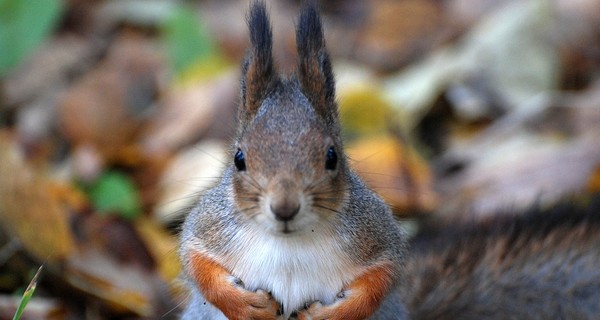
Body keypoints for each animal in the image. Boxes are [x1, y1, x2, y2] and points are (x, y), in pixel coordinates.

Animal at [179, 2, 408, 320]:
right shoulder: (211, 226)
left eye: (331, 156)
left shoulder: (374, 234)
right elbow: (195, 261)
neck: (288, 243)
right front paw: (246, 306)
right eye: (239, 158)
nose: (284, 208)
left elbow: (383, 277)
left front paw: (329, 315)